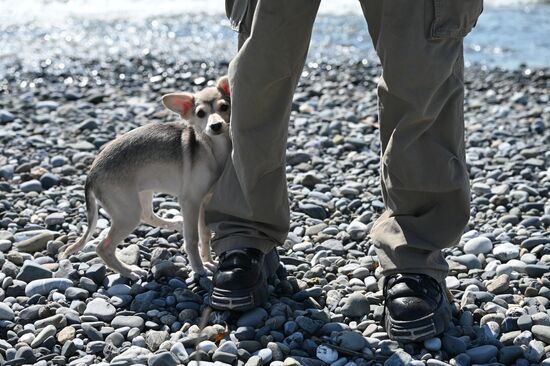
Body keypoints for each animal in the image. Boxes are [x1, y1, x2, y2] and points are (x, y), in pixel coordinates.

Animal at [60, 76, 233, 278]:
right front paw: (199, 268)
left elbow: (205, 235)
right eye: (200, 114)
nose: (216, 125)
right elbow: (192, 238)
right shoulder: (191, 201)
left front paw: (208, 261)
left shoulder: (204, 202)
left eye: (224, 107)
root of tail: (90, 175)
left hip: (142, 194)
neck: (213, 148)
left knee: (147, 215)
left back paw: (175, 222)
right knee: (103, 247)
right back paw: (129, 271)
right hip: (128, 213)